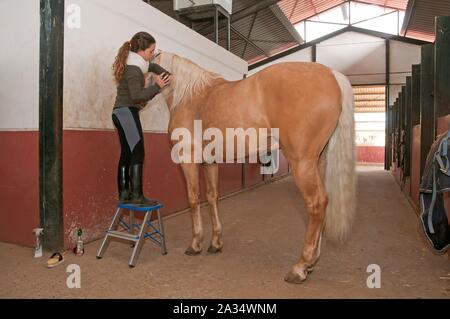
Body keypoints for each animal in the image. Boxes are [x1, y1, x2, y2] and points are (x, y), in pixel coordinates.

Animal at [154, 52, 356, 284]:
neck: (189, 96)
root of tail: (332, 75)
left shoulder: (188, 160)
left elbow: (193, 199)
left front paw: (195, 245)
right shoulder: (210, 162)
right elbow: (212, 198)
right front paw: (215, 243)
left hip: (302, 162)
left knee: (316, 203)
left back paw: (300, 267)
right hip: (318, 162)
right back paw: (312, 263)